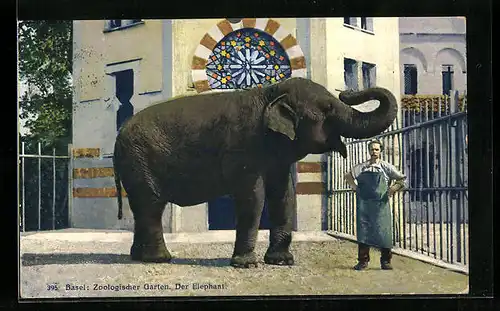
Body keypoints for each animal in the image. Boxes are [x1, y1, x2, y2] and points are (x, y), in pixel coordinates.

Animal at [113, 77, 398, 268]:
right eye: (328, 108)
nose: (348, 90)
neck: (270, 93)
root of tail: (119, 136)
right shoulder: (244, 147)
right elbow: (253, 197)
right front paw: (246, 264)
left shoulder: (276, 156)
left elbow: (284, 195)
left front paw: (281, 261)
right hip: (140, 160)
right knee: (151, 205)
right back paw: (160, 259)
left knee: (141, 209)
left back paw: (138, 257)